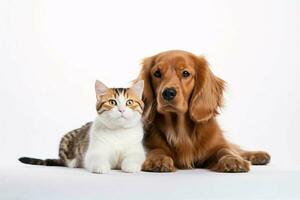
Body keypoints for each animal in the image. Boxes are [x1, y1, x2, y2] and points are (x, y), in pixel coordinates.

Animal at [137, 50, 270, 172]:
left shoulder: (217, 144)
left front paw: (233, 160)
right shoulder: (149, 144)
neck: (180, 132)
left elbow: (226, 150)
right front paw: (158, 159)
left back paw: (257, 155)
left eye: (185, 73)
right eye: (157, 73)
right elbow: (156, 150)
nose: (168, 93)